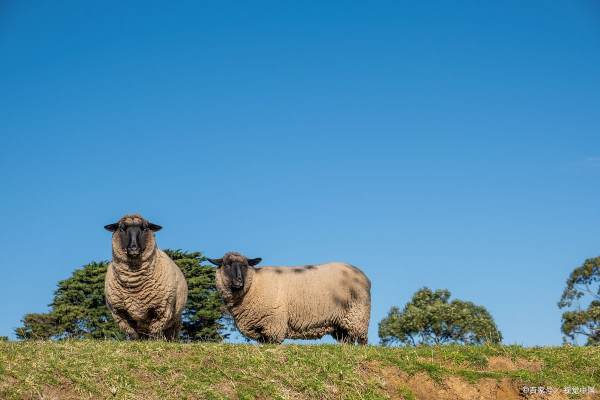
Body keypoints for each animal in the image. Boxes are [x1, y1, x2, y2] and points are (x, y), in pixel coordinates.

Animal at [206, 253, 370, 344]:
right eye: (226, 265)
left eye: (245, 265)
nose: (239, 281)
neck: (254, 284)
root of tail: (361, 274)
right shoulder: (261, 330)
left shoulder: (273, 324)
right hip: (341, 324)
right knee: (348, 341)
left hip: (358, 315)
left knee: (362, 340)